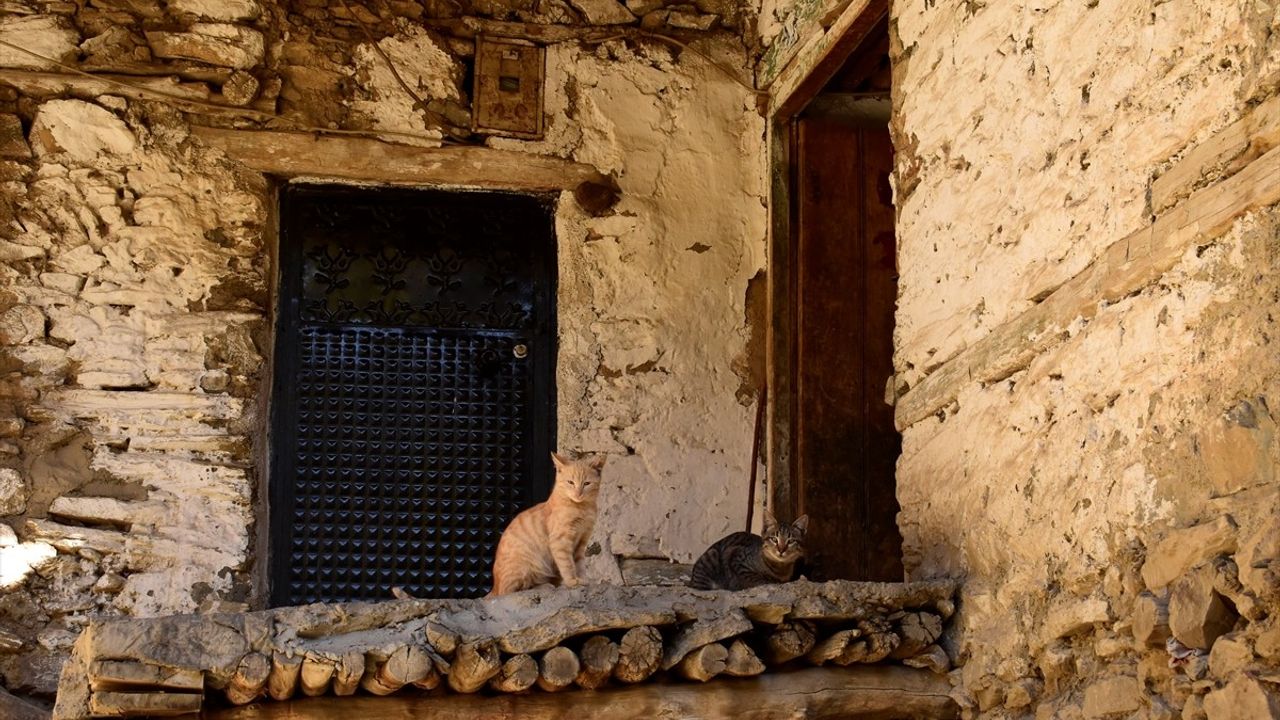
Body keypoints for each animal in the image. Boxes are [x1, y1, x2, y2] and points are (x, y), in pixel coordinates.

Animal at [483, 450, 604, 597]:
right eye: (570, 482)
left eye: (586, 483)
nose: (578, 493)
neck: (583, 508)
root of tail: (495, 586)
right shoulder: (560, 541)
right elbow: (567, 564)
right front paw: (572, 581)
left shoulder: (582, 541)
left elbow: (579, 564)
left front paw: (582, 579)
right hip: (527, 567)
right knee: (516, 590)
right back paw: (546, 587)